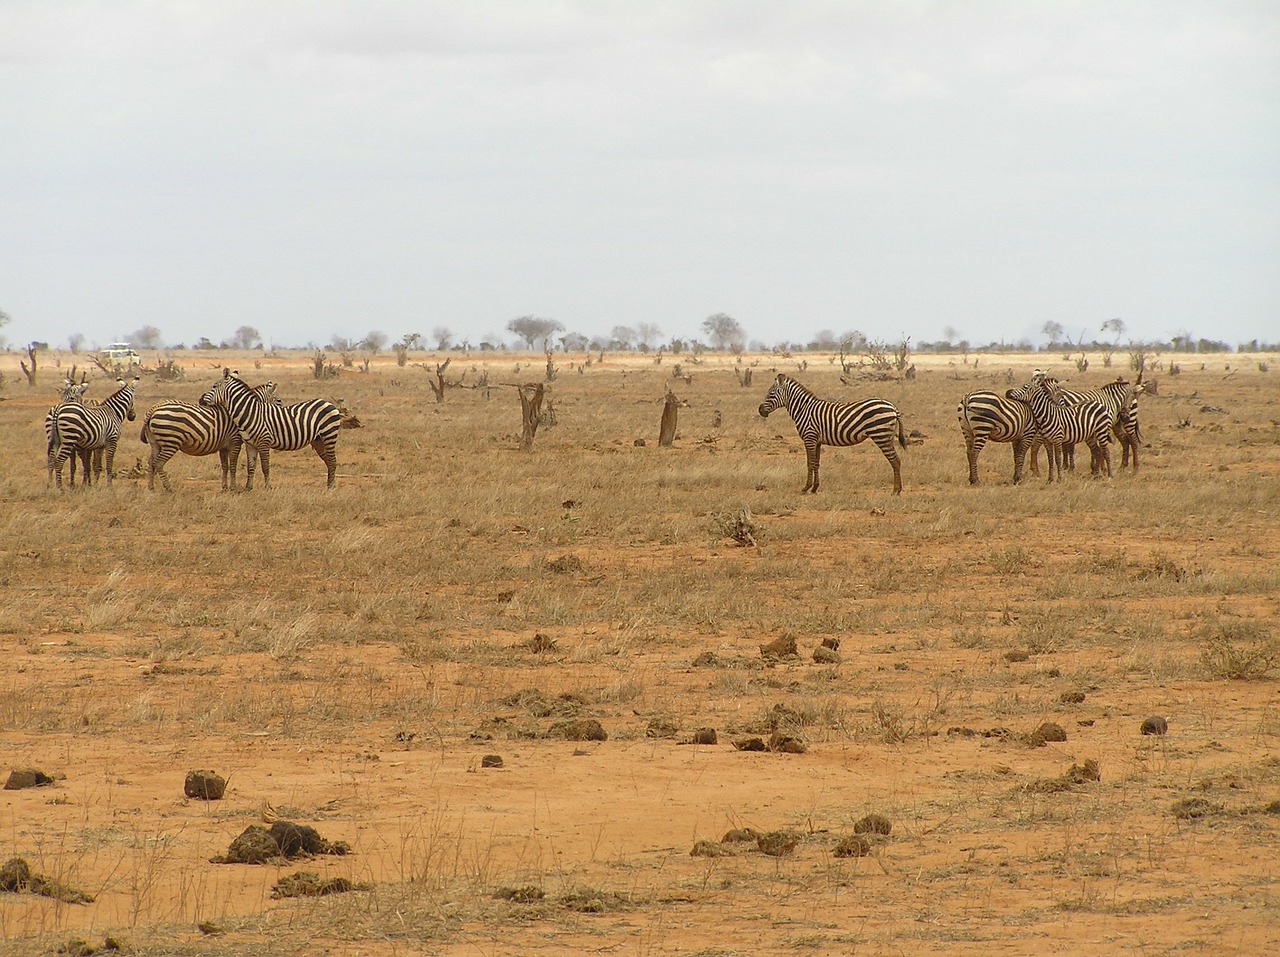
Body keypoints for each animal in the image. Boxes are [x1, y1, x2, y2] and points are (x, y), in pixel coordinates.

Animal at [140, 378, 280, 488]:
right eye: (278, 401)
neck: (245, 412)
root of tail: (154, 408)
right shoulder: (235, 442)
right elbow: (233, 465)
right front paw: (233, 488)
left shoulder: (224, 446)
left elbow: (225, 466)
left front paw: (224, 487)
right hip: (171, 442)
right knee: (158, 463)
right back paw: (168, 488)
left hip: (156, 443)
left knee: (151, 462)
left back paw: (151, 488)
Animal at [197, 365, 343, 486]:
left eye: (214, 386)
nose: (200, 400)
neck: (251, 412)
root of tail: (328, 403)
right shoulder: (250, 444)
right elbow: (251, 466)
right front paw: (247, 488)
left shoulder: (263, 442)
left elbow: (265, 466)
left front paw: (268, 487)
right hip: (318, 440)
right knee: (328, 461)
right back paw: (329, 485)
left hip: (329, 435)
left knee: (332, 461)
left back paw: (331, 487)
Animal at [752, 371, 906, 493]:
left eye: (771, 393)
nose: (760, 410)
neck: (803, 409)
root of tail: (893, 407)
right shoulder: (817, 441)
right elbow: (816, 463)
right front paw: (815, 488)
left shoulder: (809, 438)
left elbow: (809, 462)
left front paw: (806, 488)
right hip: (887, 436)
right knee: (896, 460)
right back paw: (897, 490)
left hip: (881, 435)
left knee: (895, 460)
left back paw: (895, 491)